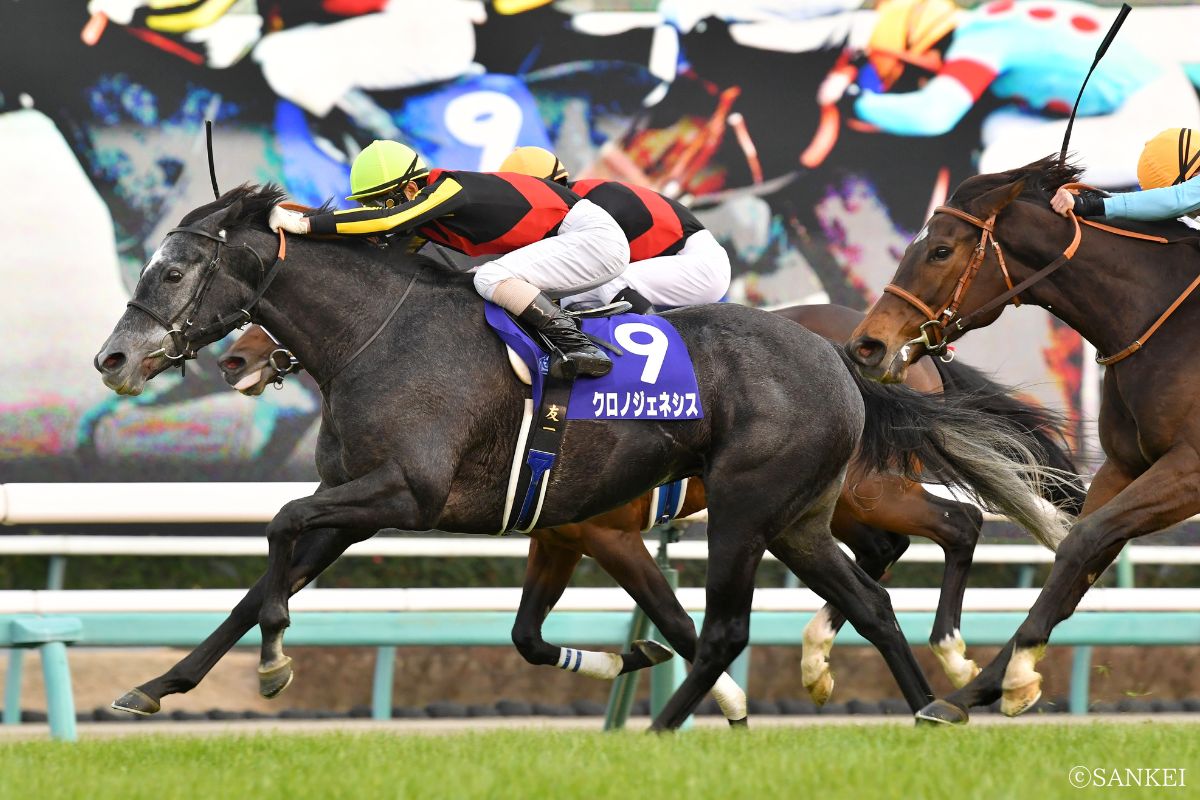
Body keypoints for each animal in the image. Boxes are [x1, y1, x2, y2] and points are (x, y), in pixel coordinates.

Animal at [94, 184, 1070, 729]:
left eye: (172, 271)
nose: (114, 359)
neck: (385, 335)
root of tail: (845, 359)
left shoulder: (409, 495)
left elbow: (278, 527)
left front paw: (272, 662)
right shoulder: (437, 509)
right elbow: (271, 579)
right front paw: (157, 685)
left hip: (755, 508)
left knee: (769, 609)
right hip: (798, 517)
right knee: (872, 596)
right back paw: (924, 704)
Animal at [845, 154, 1200, 725]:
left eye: (941, 250)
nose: (866, 345)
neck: (1164, 323)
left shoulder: (1188, 467)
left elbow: (1081, 541)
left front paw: (1013, 677)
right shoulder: (1124, 466)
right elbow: (1079, 554)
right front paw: (975, 690)